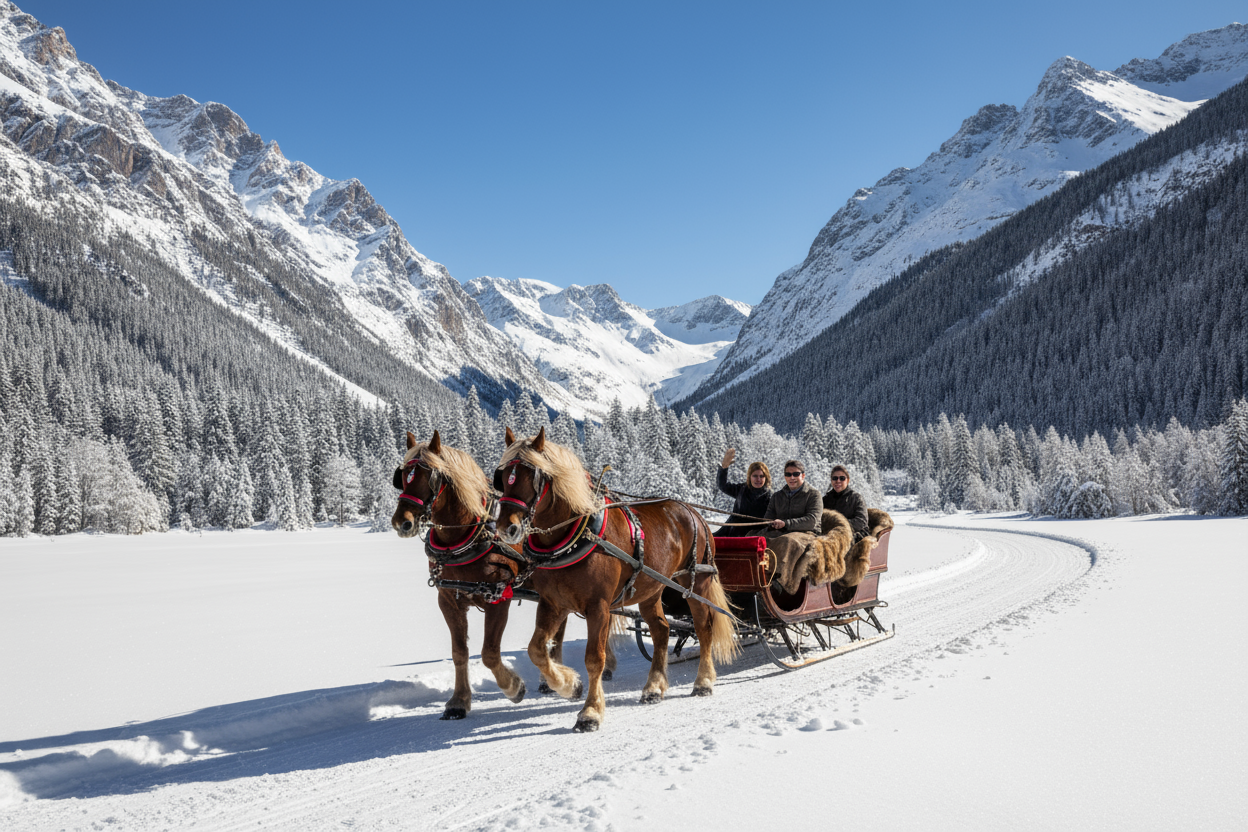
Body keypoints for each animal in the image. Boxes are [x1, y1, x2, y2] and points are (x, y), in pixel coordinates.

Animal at [391, 430, 613, 719]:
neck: (468, 536)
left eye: (430, 476)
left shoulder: (498, 598)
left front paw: (513, 687)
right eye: (403, 475)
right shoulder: (448, 599)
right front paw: (458, 701)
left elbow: (489, 653)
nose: (402, 522)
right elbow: (459, 652)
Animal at [495, 426, 738, 733]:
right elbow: (536, 649)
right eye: (503, 476)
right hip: (652, 589)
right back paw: (653, 688)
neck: (576, 534)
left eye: (534, 477)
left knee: (704, 628)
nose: (507, 528)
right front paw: (569, 685)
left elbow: (594, 658)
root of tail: (693, 512)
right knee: (661, 631)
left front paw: (590, 712)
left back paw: (703, 681)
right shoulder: (553, 603)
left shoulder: (598, 606)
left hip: (695, 583)